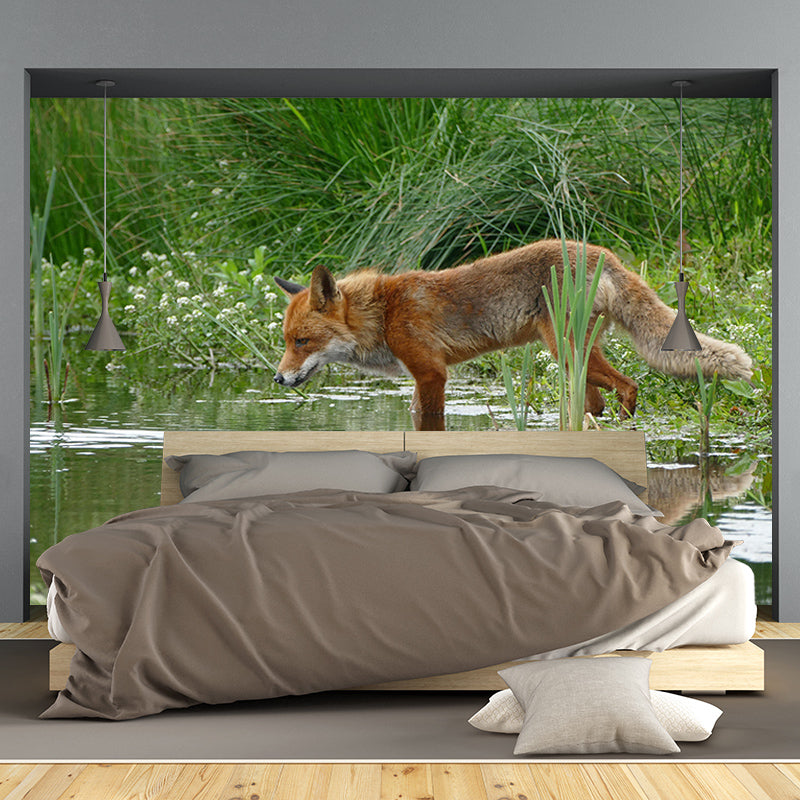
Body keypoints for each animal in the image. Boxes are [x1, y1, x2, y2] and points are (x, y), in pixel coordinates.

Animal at [273, 239, 753, 431]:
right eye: (286, 340)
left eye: (302, 342)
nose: (277, 379)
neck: (384, 312)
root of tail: (603, 253)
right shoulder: (420, 377)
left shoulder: (432, 374)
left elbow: (430, 420)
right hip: (576, 358)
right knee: (594, 403)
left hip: (566, 351)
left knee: (629, 385)